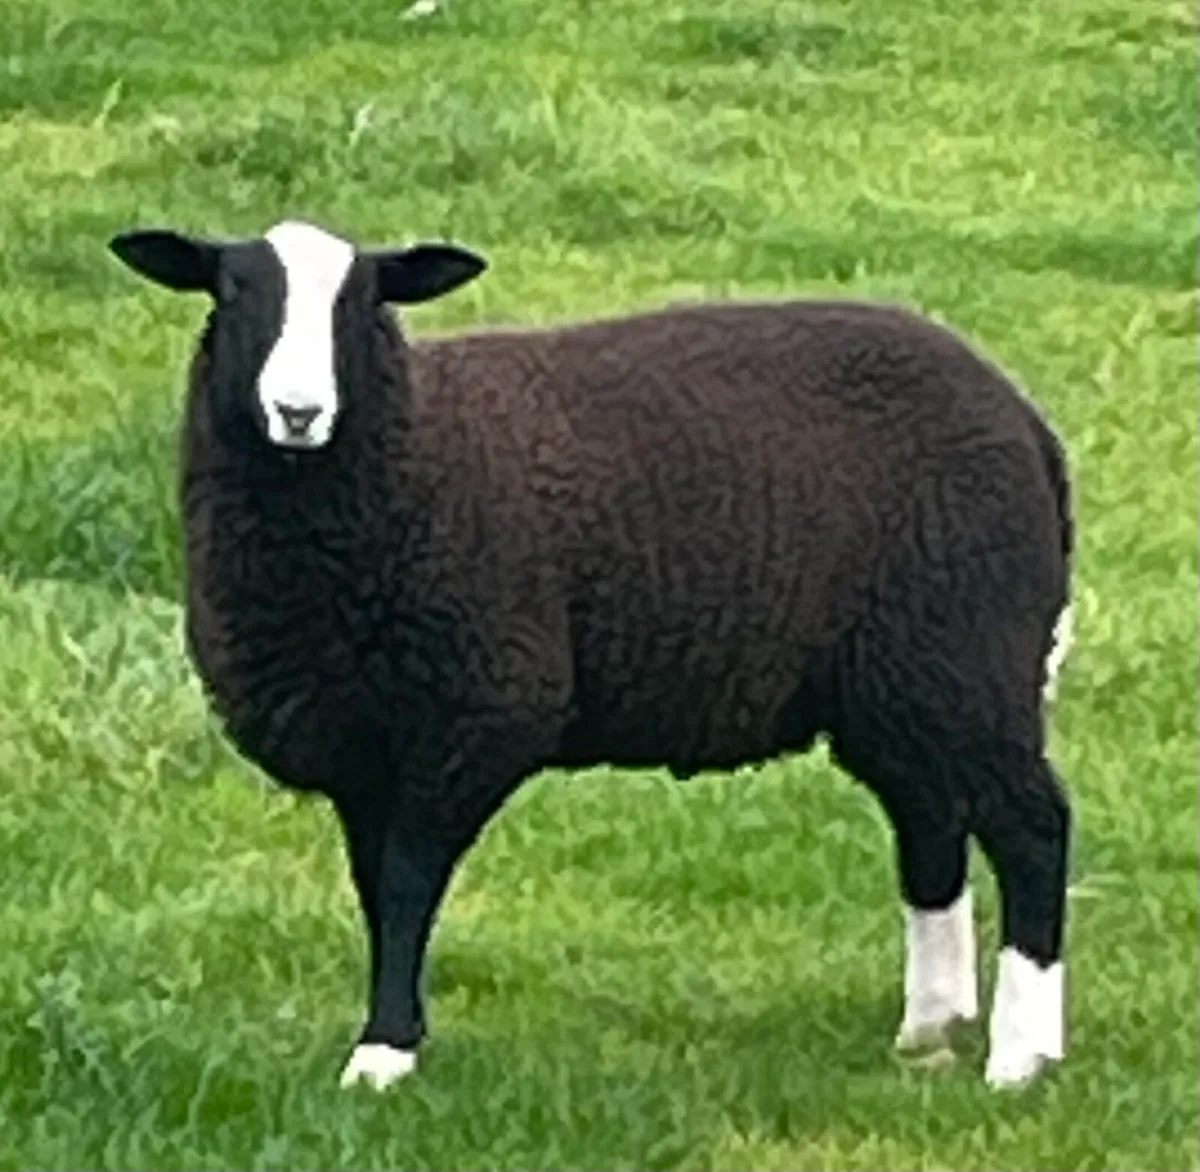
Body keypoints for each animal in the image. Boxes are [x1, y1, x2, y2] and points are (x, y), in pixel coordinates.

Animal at [107, 217, 1076, 1094]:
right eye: (233, 295)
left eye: (361, 303)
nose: (300, 412)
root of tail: (1027, 422)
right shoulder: (361, 741)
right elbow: (375, 892)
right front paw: (394, 1035)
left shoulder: (475, 711)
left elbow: (410, 882)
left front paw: (383, 1055)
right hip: (900, 683)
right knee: (930, 822)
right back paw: (932, 1026)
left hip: (968, 655)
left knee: (1033, 826)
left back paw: (1021, 1055)